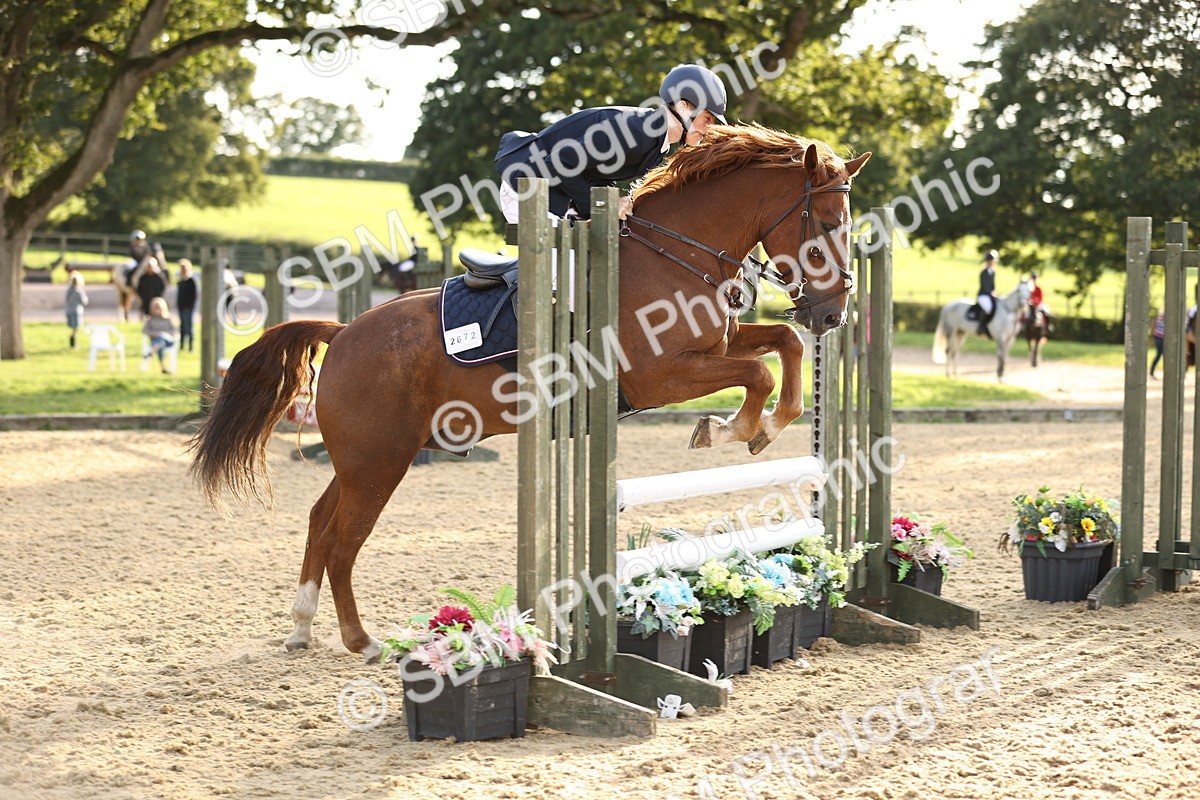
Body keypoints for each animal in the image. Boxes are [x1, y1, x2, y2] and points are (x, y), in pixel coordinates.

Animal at [188, 126, 870, 661]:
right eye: (826, 223)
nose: (834, 314)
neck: (676, 254)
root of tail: (343, 331)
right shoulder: (661, 375)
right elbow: (759, 373)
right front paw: (733, 429)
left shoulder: (717, 345)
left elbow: (783, 343)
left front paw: (765, 425)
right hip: (380, 462)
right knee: (341, 540)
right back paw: (361, 640)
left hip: (364, 460)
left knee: (318, 521)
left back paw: (302, 629)